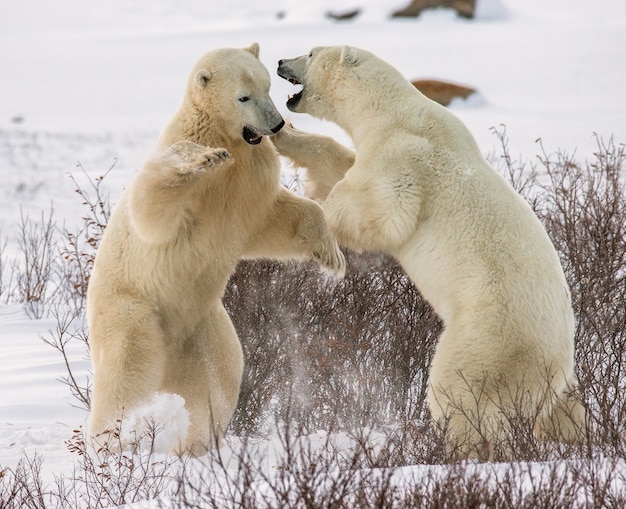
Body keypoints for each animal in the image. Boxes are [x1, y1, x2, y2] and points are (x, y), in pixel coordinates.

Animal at [85, 43, 344, 454]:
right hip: (134, 309)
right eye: (243, 97)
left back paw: (196, 441)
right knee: (126, 367)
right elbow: (153, 210)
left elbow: (272, 220)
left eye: (267, 86)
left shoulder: (247, 188)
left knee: (218, 378)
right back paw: (110, 442)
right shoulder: (191, 191)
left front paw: (331, 257)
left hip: (203, 328)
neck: (226, 136)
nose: (276, 125)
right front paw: (201, 158)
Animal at [272, 44, 584, 460]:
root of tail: (558, 357)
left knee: (461, 396)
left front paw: (323, 227)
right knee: (564, 409)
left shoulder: (404, 158)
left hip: (487, 340)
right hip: (554, 378)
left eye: (310, 52)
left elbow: (381, 209)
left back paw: (457, 451)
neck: (392, 112)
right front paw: (283, 135)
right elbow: (339, 162)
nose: (280, 62)